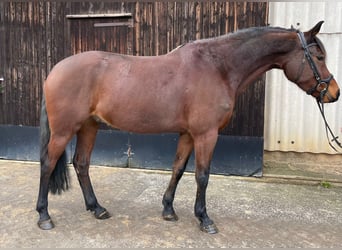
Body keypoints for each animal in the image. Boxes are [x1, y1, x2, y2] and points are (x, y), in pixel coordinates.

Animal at [36, 20, 340, 233]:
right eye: (319, 57)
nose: (334, 93)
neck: (218, 68)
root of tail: (54, 71)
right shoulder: (207, 134)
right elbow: (202, 175)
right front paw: (204, 218)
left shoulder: (188, 134)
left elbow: (179, 170)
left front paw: (168, 210)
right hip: (64, 130)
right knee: (48, 164)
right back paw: (44, 215)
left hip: (89, 126)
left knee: (81, 163)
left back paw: (96, 208)